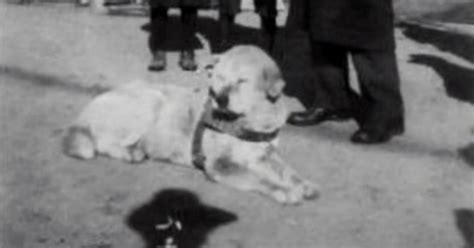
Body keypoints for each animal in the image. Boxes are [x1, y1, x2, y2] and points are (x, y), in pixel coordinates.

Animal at [63, 45, 318, 203]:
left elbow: (287, 169)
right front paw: (284, 190)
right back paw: (129, 153)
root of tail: (84, 113)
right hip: (151, 98)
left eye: (242, 80)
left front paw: (303, 184)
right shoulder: (220, 164)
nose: (220, 99)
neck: (252, 118)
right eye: (219, 78)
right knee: (101, 142)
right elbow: (260, 178)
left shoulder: (266, 154)